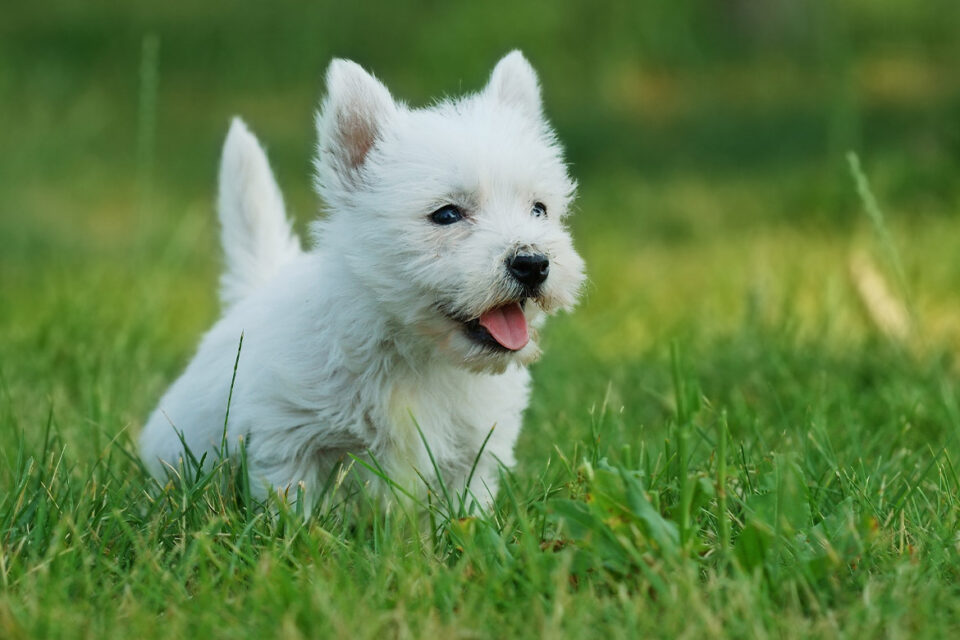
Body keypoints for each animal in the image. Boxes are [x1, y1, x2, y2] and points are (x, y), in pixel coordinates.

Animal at [138, 51, 580, 510]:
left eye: (539, 209)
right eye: (446, 214)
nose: (532, 263)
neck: (414, 355)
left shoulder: (474, 453)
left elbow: (463, 509)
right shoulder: (287, 438)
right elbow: (294, 506)